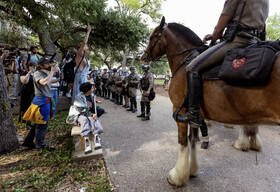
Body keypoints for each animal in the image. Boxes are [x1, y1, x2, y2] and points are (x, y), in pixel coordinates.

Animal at [141, 17, 280, 187]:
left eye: (152, 37)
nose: (143, 58)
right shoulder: (194, 114)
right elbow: (192, 140)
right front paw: (192, 170)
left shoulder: (180, 110)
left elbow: (183, 142)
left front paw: (177, 177)